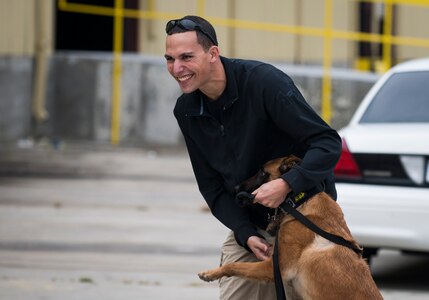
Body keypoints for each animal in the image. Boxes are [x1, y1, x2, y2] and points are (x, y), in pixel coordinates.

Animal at [197, 156, 382, 298]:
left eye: (262, 172)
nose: (236, 188)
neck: (300, 202)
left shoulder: (277, 267)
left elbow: (235, 265)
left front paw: (210, 273)